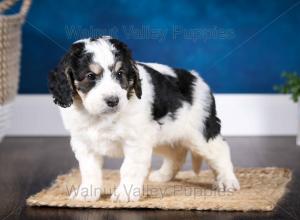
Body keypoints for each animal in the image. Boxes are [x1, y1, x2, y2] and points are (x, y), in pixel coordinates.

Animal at [49, 36, 241, 203]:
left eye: (120, 73)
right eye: (90, 76)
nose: (113, 101)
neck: (102, 117)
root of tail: (196, 78)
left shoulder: (136, 141)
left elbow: (129, 168)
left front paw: (125, 194)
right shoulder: (84, 143)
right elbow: (89, 170)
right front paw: (86, 193)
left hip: (201, 132)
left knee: (220, 151)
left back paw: (227, 181)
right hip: (163, 134)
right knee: (177, 153)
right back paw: (163, 175)